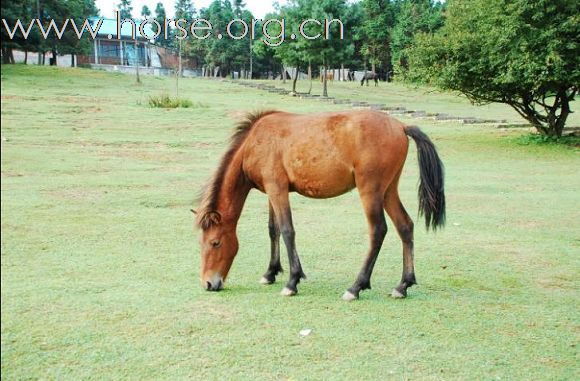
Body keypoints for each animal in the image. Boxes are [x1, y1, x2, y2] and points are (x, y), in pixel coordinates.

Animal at [195, 110, 444, 300]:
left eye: (215, 242)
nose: (208, 283)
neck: (254, 142)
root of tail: (400, 126)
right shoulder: (272, 191)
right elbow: (273, 230)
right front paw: (270, 273)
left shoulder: (277, 189)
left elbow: (287, 231)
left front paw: (292, 281)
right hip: (389, 191)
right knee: (405, 226)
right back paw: (403, 285)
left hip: (371, 191)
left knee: (378, 231)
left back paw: (356, 287)